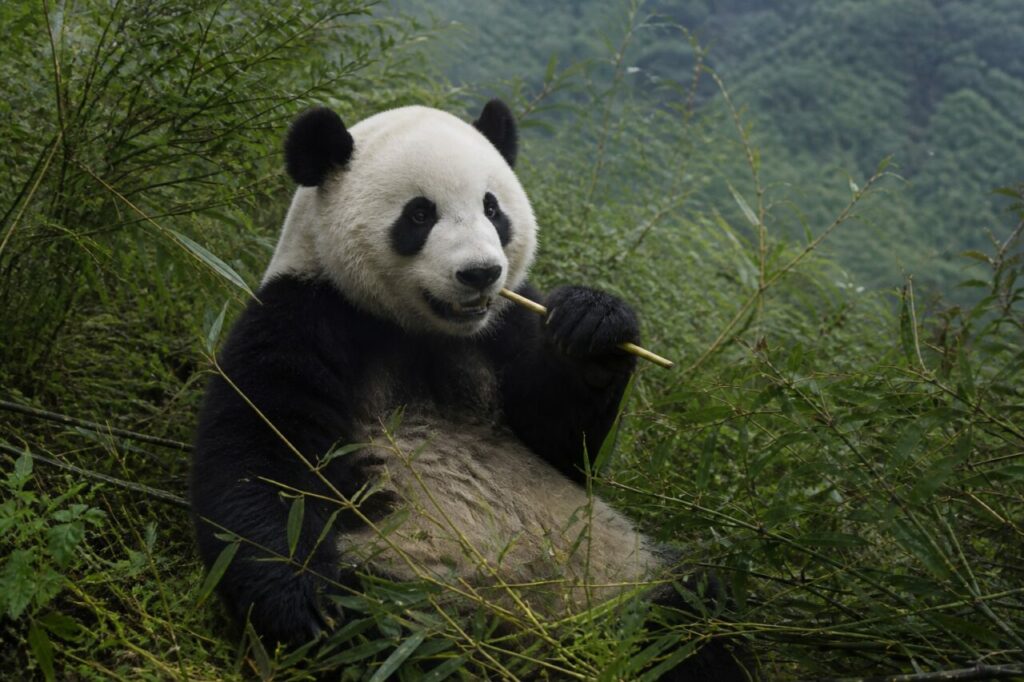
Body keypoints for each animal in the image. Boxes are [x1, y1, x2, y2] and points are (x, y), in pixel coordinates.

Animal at [190, 100, 751, 680]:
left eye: (492, 208)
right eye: (419, 215)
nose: (481, 273)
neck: (425, 330)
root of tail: (537, 637)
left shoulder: (508, 324)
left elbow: (564, 442)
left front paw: (593, 325)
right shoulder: (305, 314)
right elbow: (261, 452)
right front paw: (299, 605)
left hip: (615, 571)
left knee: (690, 615)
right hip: (410, 579)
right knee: (383, 634)